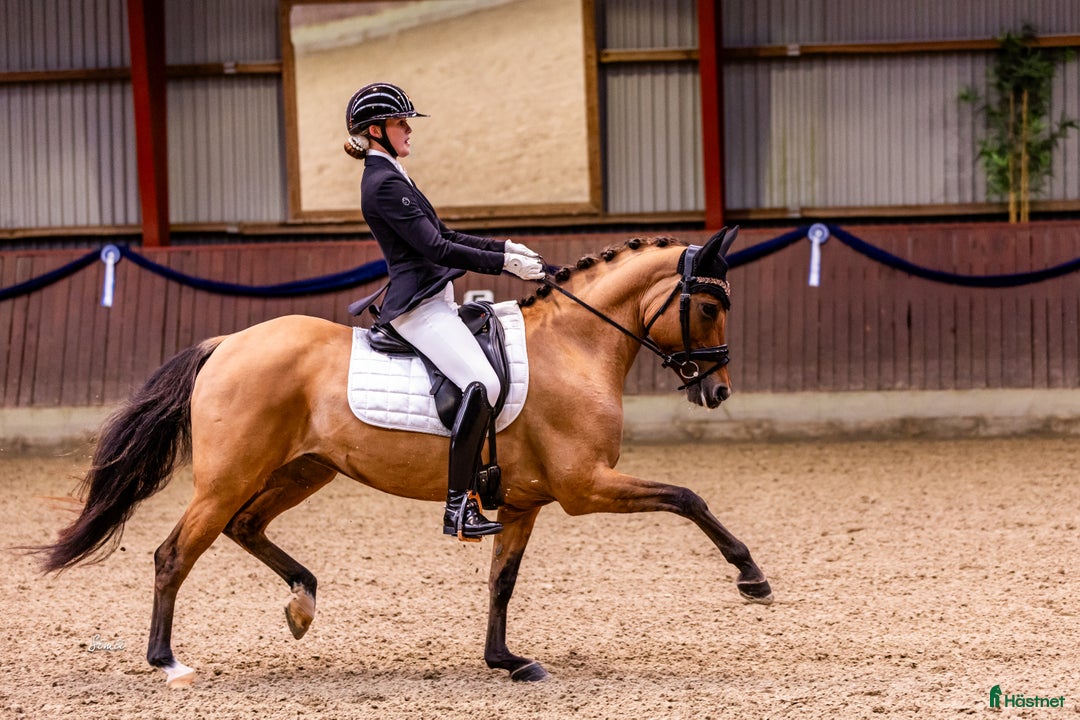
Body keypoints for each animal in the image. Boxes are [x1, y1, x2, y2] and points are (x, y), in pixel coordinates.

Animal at [35, 227, 772, 686]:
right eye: (710, 306)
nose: (717, 390)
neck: (575, 347)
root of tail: (227, 343)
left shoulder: (526, 501)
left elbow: (501, 582)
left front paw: (506, 660)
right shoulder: (584, 486)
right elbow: (688, 498)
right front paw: (752, 578)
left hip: (303, 470)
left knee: (246, 527)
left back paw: (302, 603)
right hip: (228, 478)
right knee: (174, 554)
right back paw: (167, 661)